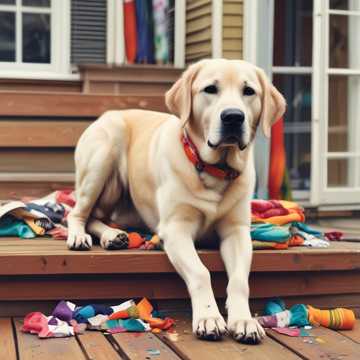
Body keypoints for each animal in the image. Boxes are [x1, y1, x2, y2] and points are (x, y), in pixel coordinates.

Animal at [67, 58, 286, 344]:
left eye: (249, 91)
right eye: (210, 89)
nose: (233, 116)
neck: (213, 170)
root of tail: (107, 114)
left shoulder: (237, 232)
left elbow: (239, 279)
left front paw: (244, 320)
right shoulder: (176, 229)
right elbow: (200, 272)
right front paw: (208, 316)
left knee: (99, 216)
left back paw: (112, 235)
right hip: (103, 156)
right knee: (77, 213)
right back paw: (81, 236)